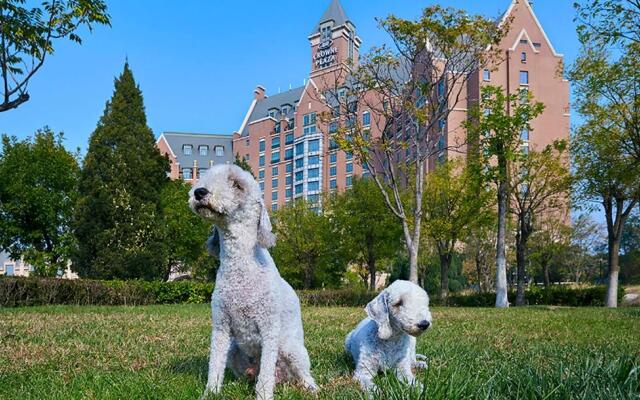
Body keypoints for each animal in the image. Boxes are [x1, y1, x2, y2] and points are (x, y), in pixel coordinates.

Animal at [190, 165, 320, 400]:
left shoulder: (269, 328)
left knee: (302, 374)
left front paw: (264, 395)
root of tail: (284, 379)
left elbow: (266, 373)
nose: (199, 192)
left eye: (237, 185)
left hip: (291, 349)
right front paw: (210, 393)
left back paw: (311, 388)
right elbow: (215, 365)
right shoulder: (221, 327)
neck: (241, 270)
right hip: (234, 349)